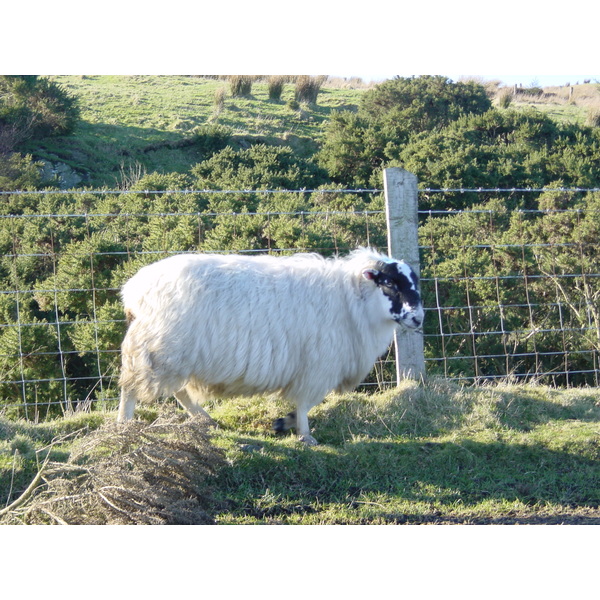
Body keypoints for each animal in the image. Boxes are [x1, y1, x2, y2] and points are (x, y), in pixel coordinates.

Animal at [117, 245, 424, 446]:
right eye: (389, 282)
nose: (418, 318)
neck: (350, 298)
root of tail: (133, 290)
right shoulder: (317, 364)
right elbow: (306, 402)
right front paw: (304, 434)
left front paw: (285, 422)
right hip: (159, 348)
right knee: (132, 387)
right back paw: (125, 424)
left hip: (174, 353)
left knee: (179, 391)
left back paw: (205, 420)